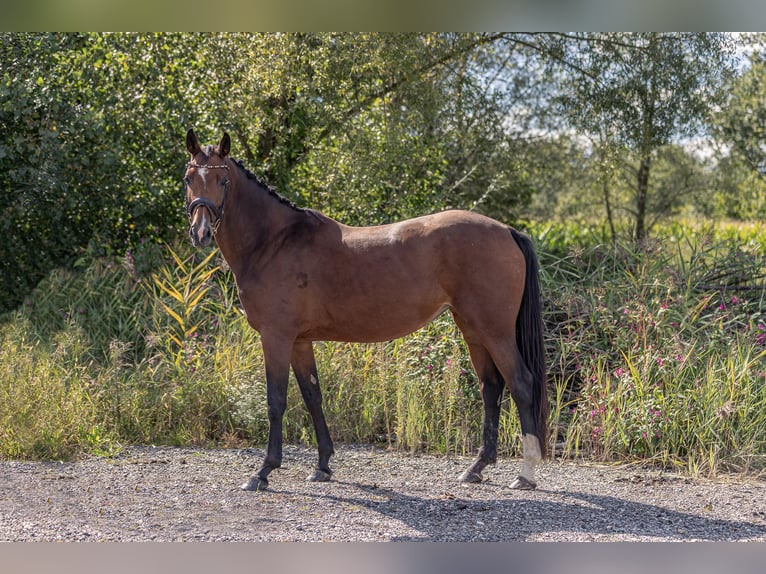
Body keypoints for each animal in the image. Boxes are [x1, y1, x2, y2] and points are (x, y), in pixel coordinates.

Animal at [183, 129, 548, 491]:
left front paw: (263, 471)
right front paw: (322, 465)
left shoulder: (277, 337)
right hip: (472, 329)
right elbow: (313, 396)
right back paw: (477, 467)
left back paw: (525, 474)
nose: (201, 232)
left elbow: (276, 401)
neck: (275, 242)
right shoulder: (300, 341)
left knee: (520, 383)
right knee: (491, 386)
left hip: (495, 331)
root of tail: (507, 231)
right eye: (189, 178)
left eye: (223, 180)